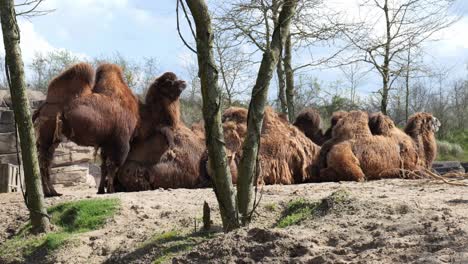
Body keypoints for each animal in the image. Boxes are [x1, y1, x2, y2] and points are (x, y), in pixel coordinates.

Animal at [33, 63, 138, 196]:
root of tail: (42, 107)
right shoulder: (120, 142)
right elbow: (113, 166)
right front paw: (111, 190)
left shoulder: (106, 143)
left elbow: (104, 166)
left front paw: (101, 191)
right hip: (46, 137)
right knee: (43, 163)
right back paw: (49, 193)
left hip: (53, 140)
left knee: (47, 162)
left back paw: (53, 192)